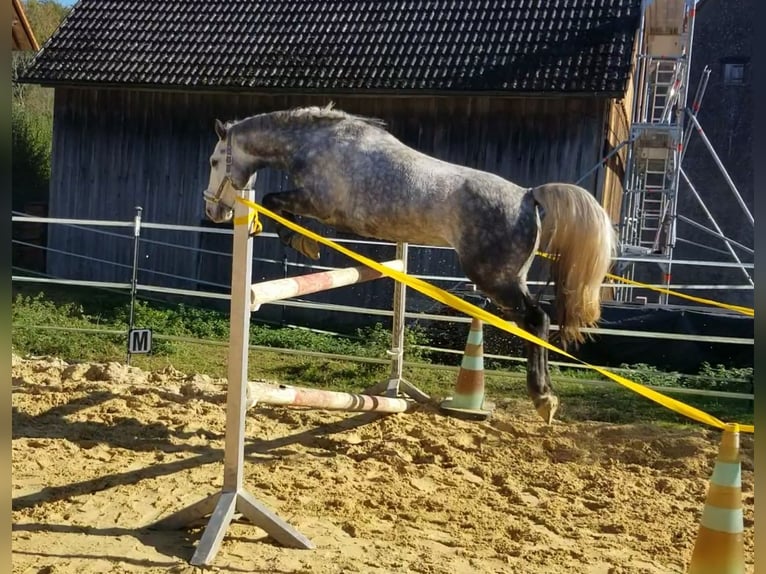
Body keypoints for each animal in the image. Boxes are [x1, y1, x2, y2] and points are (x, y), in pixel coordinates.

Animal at [202, 106, 616, 426]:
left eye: (213, 160)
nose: (213, 211)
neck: (316, 144)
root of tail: (528, 195)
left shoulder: (321, 204)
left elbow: (274, 202)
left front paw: (301, 241)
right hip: (511, 277)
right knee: (537, 322)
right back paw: (545, 399)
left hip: (494, 278)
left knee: (537, 320)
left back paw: (543, 398)